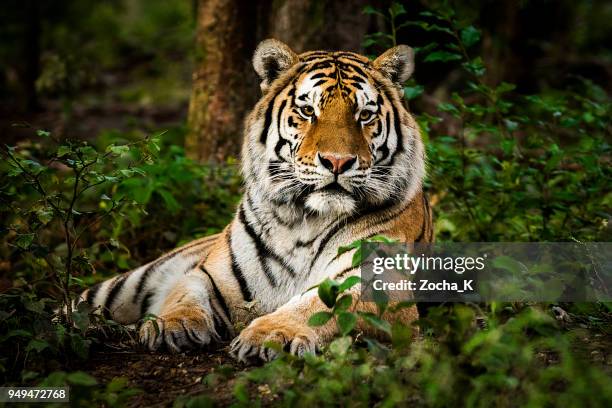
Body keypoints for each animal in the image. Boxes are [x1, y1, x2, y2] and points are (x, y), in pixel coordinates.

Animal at [75, 39, 430, 362]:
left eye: (365, 115)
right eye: (307, 111)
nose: (337, 161)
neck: (303, 220)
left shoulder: (376, 279)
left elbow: (317, 305)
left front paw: (271, 335)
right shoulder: (211, 275)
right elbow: (184, 294)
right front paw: (169, 325)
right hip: (129, 283)